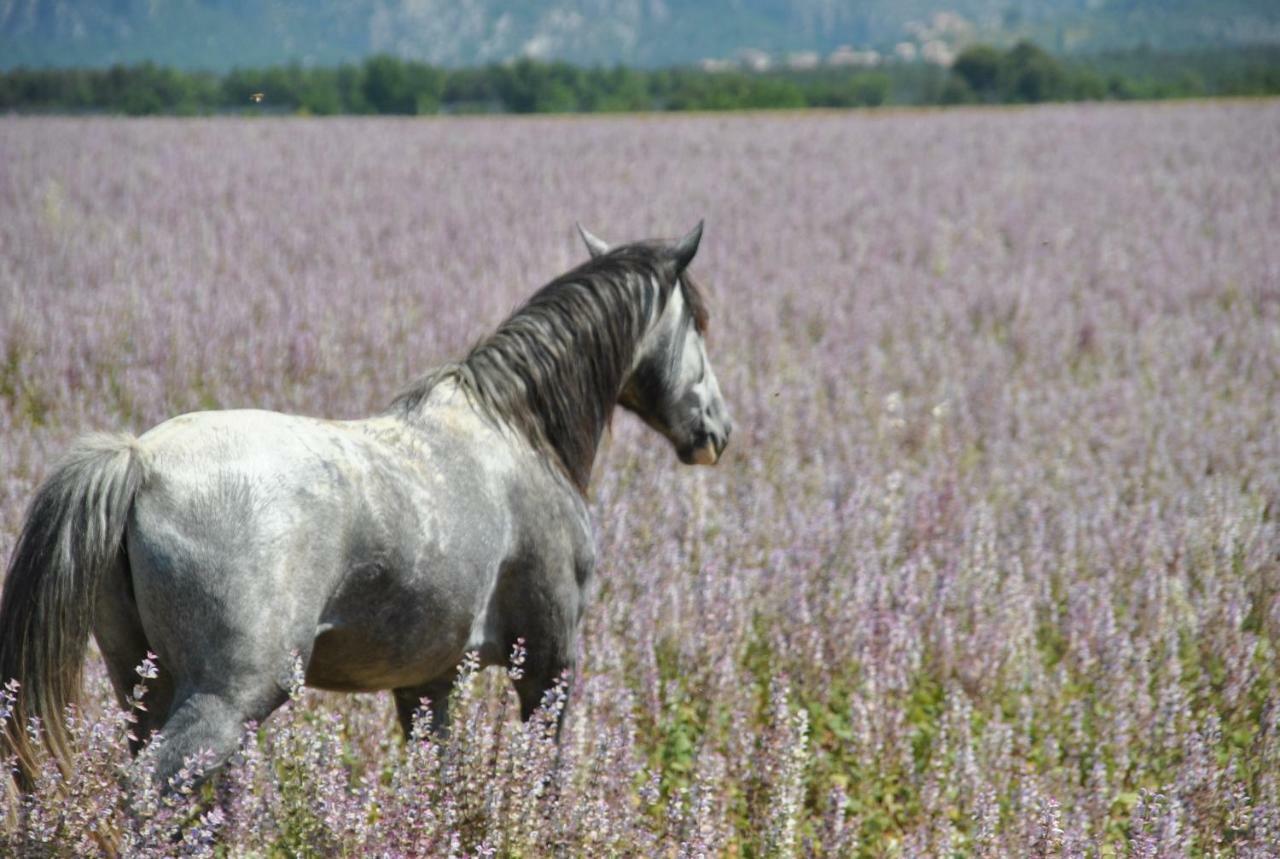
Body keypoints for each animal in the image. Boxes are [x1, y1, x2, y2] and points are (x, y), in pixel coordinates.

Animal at [0, 221, 737, 793]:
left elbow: (436, 786)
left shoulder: (428, 681)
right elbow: (545, 780)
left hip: (143, 683)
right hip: (227, 697)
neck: (519, 431)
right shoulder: (551, 662)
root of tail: (139, 461)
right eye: (699, 322)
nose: (717, 431)